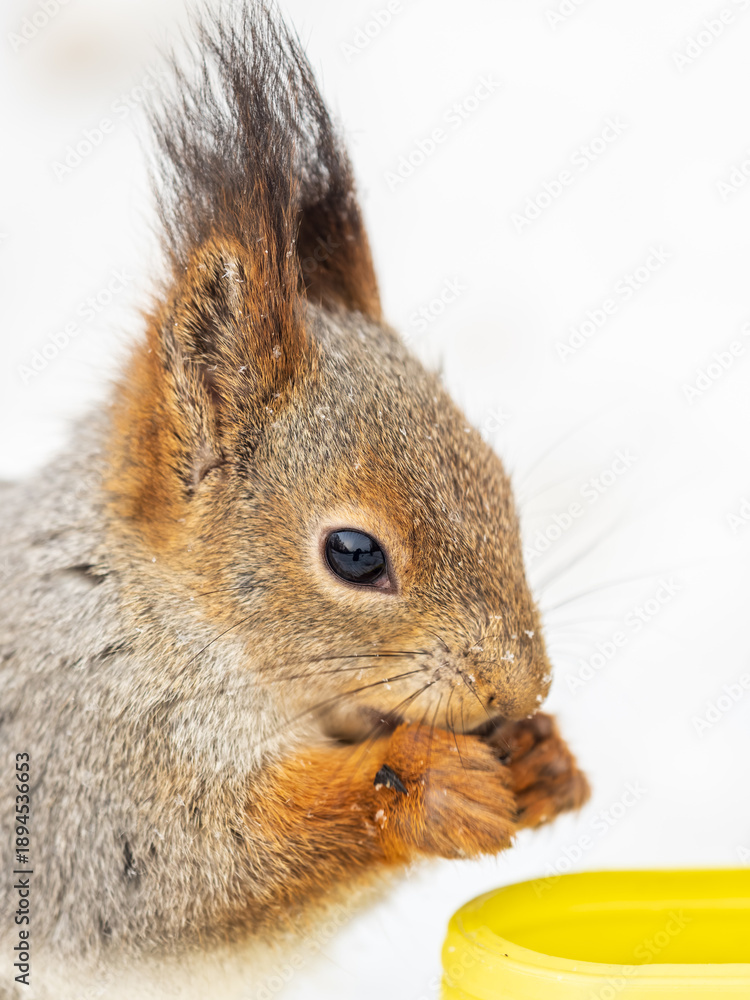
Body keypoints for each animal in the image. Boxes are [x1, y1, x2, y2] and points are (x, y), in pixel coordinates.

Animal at [0, 3, 589, 997]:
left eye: (501, 484)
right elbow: (187, 871)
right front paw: (426, 783)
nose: (519, 686)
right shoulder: (81, 766)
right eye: (353, 554)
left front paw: (545, 758)